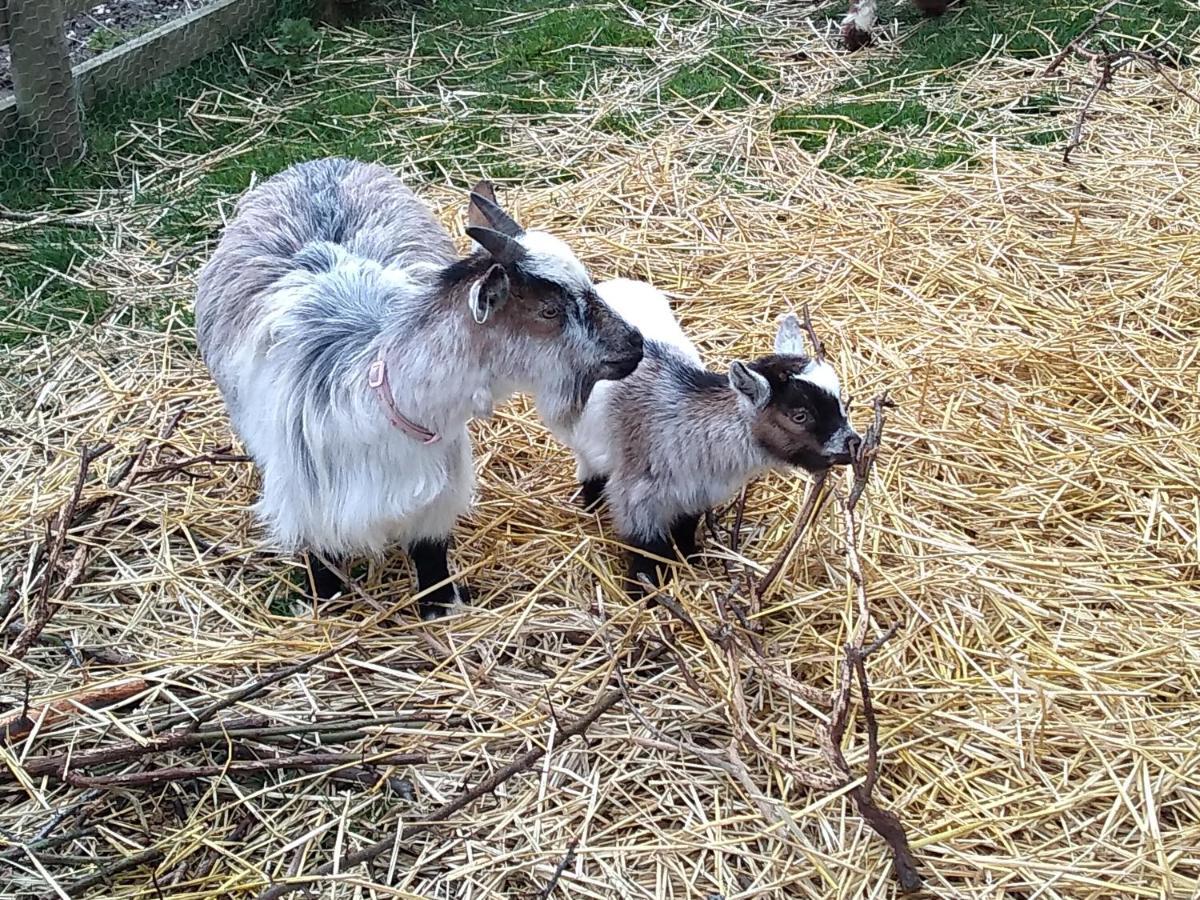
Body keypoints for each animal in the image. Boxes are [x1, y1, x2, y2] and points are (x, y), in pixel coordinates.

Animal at [195, 158, 643, 619]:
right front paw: (328, 606)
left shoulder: (438, 494)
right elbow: (324, 564)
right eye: (549, 310)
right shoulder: (310, 504)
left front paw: (439, 606)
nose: (635, 344)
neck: (384, 406)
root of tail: (319, 164)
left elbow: (430, 556)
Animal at [549, 278, 859, 595]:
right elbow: (646, 548)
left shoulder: (697, 491)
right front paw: (644, 592)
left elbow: (686, 524)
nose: (853, 444)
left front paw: (689, 557)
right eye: (800, 415)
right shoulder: (635, 498)